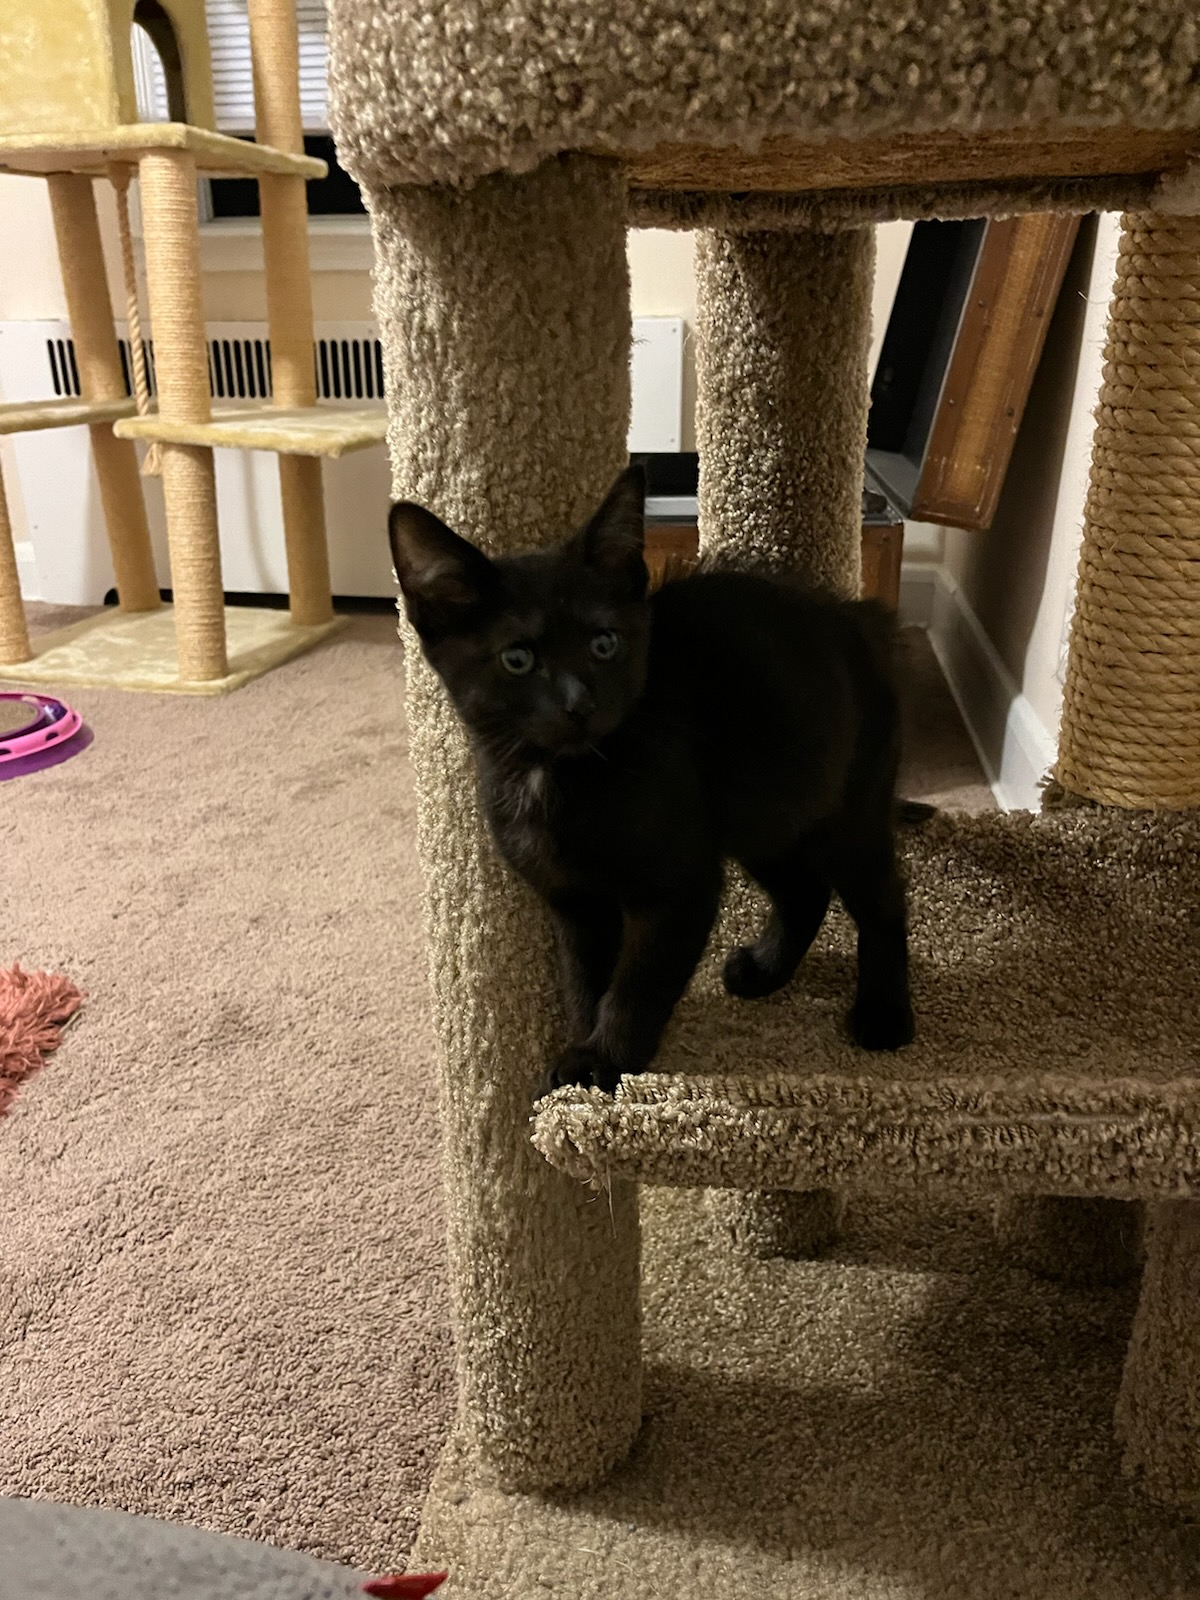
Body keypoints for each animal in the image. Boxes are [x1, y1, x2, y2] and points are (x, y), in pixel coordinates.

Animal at [390, 464, 915, 1088]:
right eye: (517, 659)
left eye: (604, 643)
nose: (579, 703)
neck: (558, 776)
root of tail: (859, 616)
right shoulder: (576, 901)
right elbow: (584, 977)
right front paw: (582, 1054)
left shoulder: (679, 886)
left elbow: (637, 982)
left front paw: (607, 1061)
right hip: (767, 812)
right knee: (804, 889)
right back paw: (764, 973)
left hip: (849, 806)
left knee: (882, 900)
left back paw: (885, 1016)